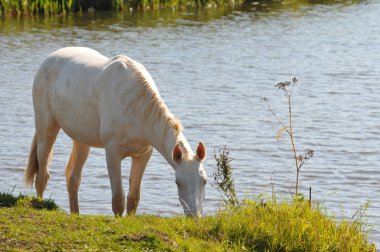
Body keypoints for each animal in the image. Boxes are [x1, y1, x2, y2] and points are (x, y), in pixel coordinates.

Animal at [23, 47, 208, 217]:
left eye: (204, 181)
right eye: (178, 182)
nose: (194, 215)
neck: (135, 107)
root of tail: (50, 58)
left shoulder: (143, 155)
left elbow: (133, 198)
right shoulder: (112, 153)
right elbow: (118, 200)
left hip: (81, 140)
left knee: (73, 178)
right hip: (46, 128)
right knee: (42, 175)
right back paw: (40, 205)